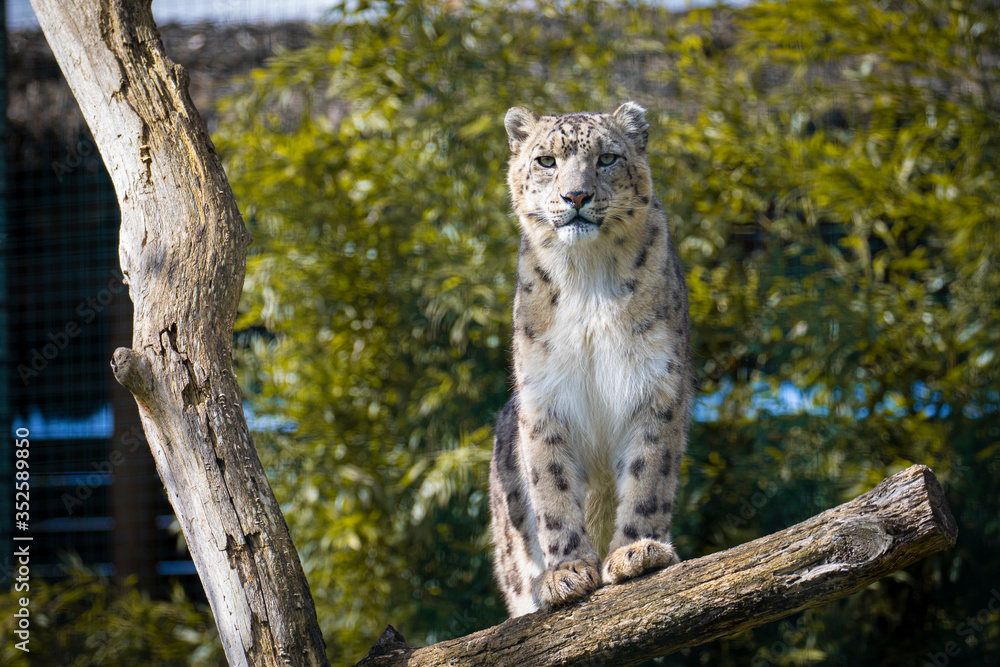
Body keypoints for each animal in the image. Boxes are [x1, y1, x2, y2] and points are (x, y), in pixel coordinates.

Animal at [489, 102, 693, 617]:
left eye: (606, 158)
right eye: (545, 160)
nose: (576, 194)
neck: (588, 278)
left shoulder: (655, 383)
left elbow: (648, 472)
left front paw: (636, 551)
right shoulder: (545, 395)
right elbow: (552, 485)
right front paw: (568, 572)